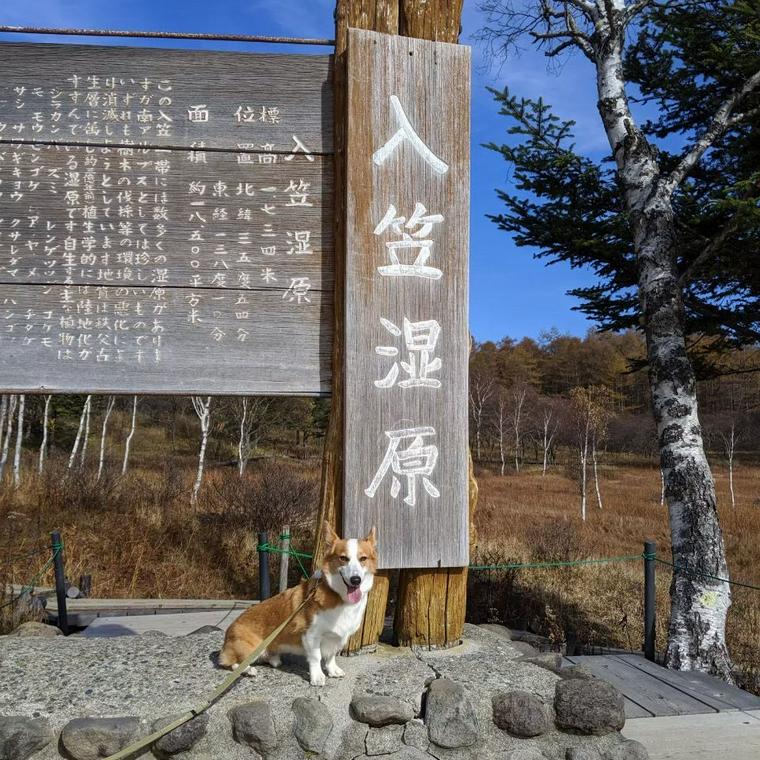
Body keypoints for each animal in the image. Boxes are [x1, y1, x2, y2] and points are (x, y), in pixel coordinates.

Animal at [217, 520, 378, 684]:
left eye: (363, 559)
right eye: (343, 558)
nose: (355, 580)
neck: (338, 595)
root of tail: (228, 633)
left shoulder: (336, 638)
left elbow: (330, 657)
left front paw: (332, 670)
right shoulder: (311, 636)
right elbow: (316, 657)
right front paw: (317, 677)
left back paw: (273, 659)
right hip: (252, 648)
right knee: (232, 663)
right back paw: (249, 670)